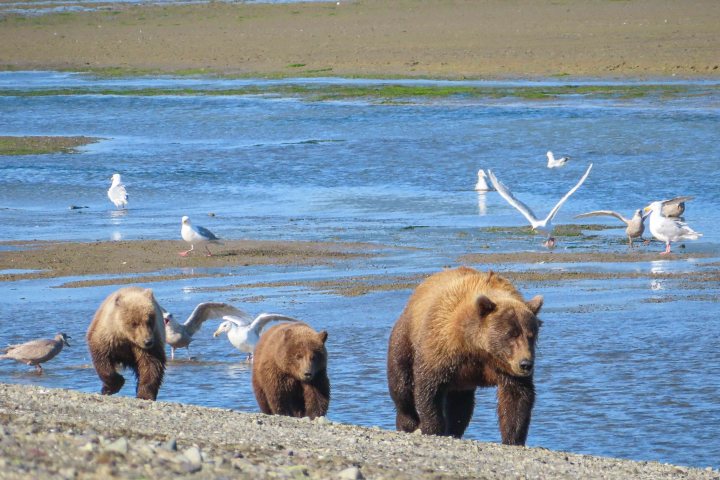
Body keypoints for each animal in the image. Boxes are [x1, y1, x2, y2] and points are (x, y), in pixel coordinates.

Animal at [387, 266, 543, 445]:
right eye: (511, 334)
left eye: (531, 335)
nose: (526, 364)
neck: (476, 347)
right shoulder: (442, 348)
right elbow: (429, 387)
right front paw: (432, 428)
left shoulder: (504, 367)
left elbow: (517, 396)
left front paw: (513, 439)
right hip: (405, 338)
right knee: (401, 385)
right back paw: (408, 422)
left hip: (462, 381)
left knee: (460, 405)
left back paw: (454, 429)